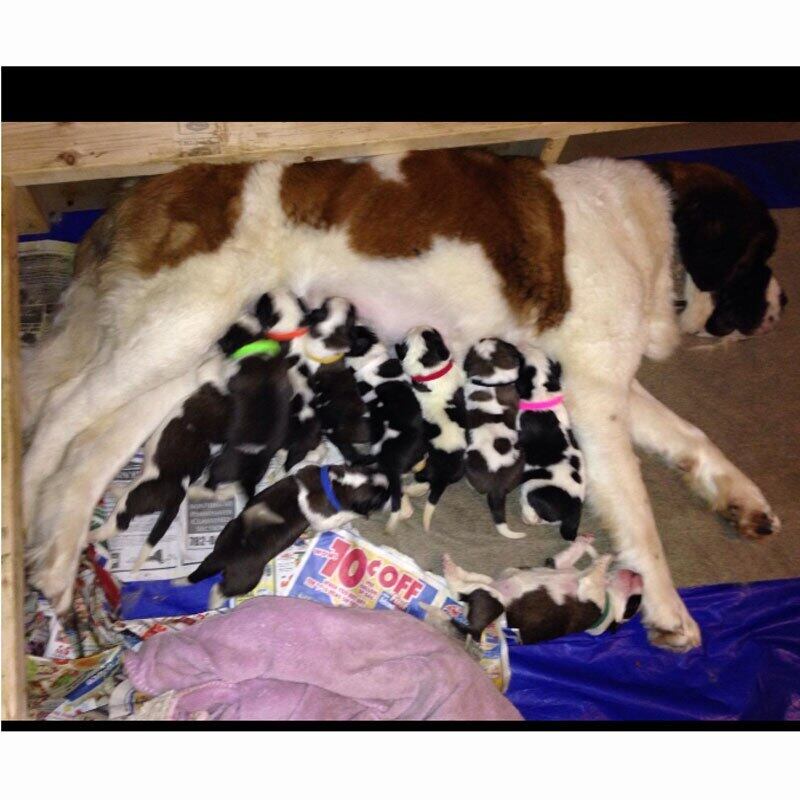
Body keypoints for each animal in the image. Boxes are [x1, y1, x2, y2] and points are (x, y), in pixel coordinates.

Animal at [185, 464, 390, 600]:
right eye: (380, 498)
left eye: (373, 469)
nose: (392, 488)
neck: (340, 484)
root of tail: (222, 555)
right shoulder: (324, 518)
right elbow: (341, 517)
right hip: (247, 579)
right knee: (221, 588)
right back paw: (214, 600)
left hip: (226, 531)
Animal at [396, 326, 467, 532]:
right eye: (435, 335)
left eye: (405, 342)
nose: (422, 325)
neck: (433, 369)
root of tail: (443, 477)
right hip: (458, 472)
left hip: (424, 470)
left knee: (419, 482)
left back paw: (407, 490)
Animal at [442, 533, 643, 644]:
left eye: (634, 604)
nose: (641, 576)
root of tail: (476, 630)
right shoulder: (561, 564)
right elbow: (573, 553)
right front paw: (585, 541)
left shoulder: (587, 587)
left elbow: (598, 568)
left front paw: (607, 557)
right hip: (487, 584)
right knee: (465, 584)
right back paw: (451, 565)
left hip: (493, 599)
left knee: (459, 589)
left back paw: (450, 569)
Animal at [516, 346, 585, 541]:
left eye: (520, 360)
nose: (522, 346)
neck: (543, 392)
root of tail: (574, 510)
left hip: (532, 486)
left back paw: (528, 516)